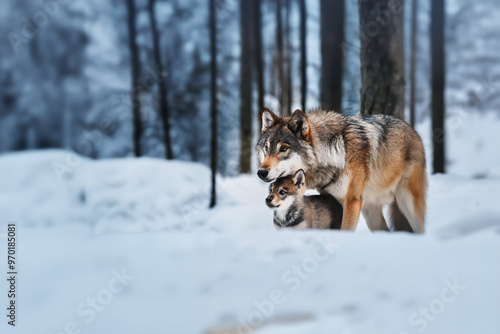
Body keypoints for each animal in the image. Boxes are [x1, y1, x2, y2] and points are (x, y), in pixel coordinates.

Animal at [256, 108, 428, 234]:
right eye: (266, 148)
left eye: (283, 149)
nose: (261, 172)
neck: (335, 152)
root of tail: (412, 130)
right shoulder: (331, 200)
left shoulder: (351, 202)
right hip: (370, 211)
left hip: (408, 205)